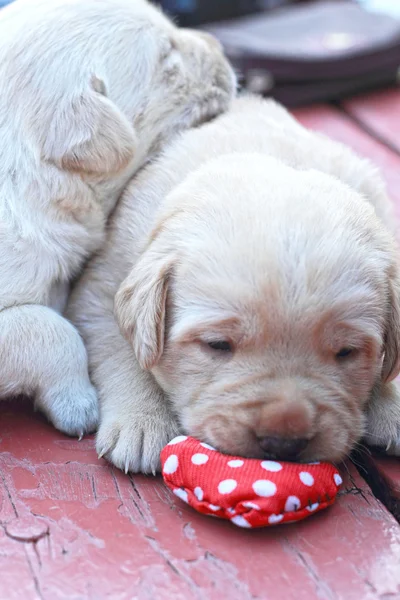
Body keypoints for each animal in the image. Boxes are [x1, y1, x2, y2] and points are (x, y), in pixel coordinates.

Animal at [66, 95, 400, 474]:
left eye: (346, 352)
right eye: (217, 345)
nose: (284, 441)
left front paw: (390, 403)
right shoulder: (103, 286)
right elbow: (123, 350)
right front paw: (142, 421)